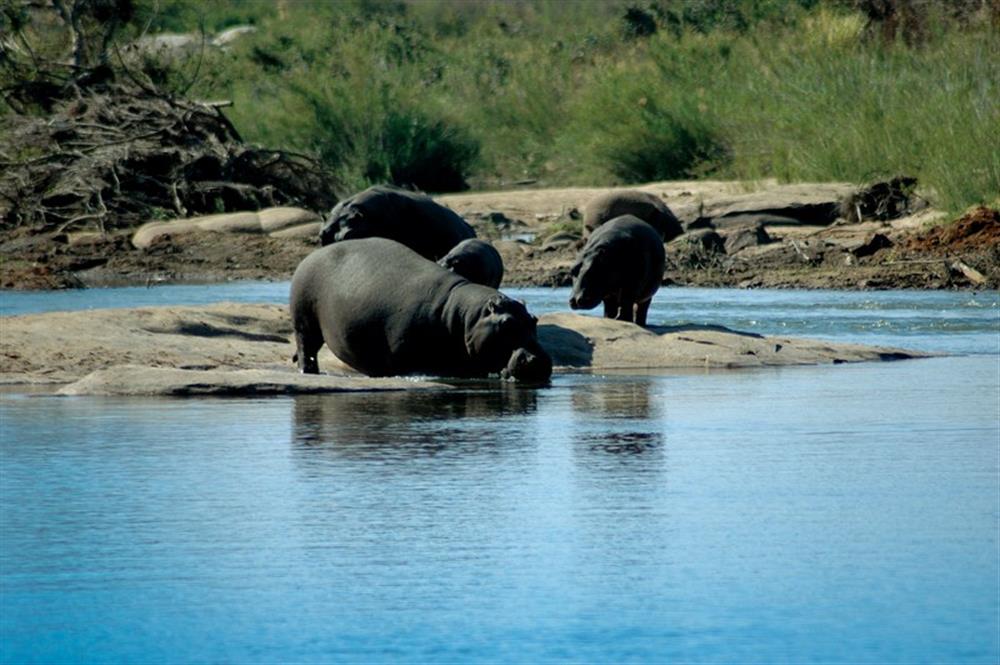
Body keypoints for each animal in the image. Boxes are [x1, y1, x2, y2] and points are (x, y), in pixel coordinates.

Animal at [290, 239, 556, 384]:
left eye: (534, 320)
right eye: (506, 323)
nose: (540, 360)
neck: (463, 316)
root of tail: (311, 255)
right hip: (304, 321)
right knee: (306, 347)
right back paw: (309, 371)